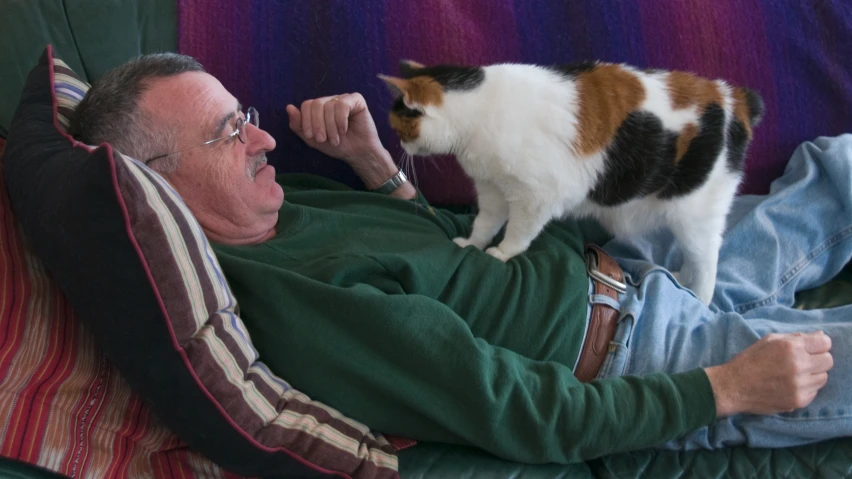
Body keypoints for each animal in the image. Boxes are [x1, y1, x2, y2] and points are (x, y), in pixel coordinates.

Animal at [380, 59, 764, 304]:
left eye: (400, 128)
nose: (400, 147)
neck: (478, 111)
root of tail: (734, 97)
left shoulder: (535, 197)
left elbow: (519, 231)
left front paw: (502, 253)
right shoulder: (492, 189)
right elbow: (486, 222)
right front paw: (473, 243)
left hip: (695, 214)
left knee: (708, 258)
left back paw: (699, 298)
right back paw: (682, 280)